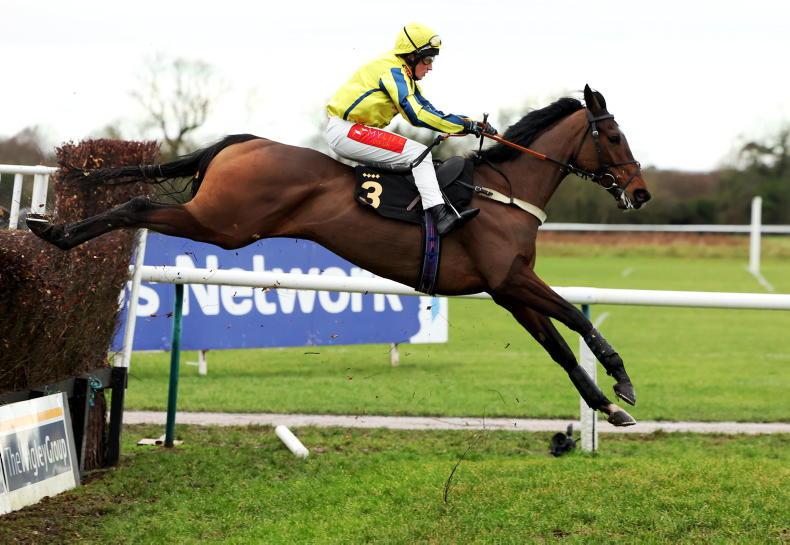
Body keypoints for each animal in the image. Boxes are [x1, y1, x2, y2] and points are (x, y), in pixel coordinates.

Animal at [28, 85, 651, 426]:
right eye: (616, 136)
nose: (641, 192)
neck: (503, 191)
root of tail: (241, 142)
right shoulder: (511, 279)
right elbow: (575, 320)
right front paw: (622, 380)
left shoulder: (506, 289)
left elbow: (558, 347)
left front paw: (607, 405)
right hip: (222, 224)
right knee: (136, 204)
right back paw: (55, 234)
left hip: (221, 222)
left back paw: (51, 226)